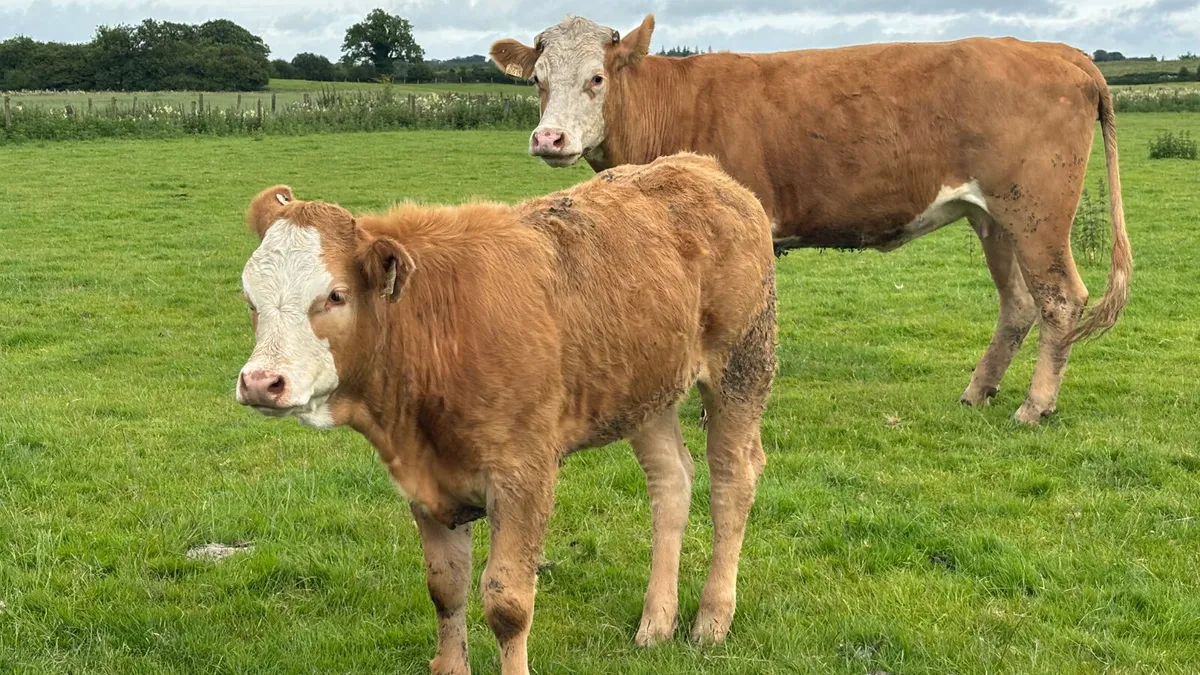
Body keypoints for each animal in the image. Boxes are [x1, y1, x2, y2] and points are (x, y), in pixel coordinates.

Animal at [234, 152, 777, 675]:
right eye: (250, 298)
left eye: (336, 295)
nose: (261, 381)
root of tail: (698, 165)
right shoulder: (428, 482)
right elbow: (445, 588)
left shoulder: (524, 475)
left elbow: (507, 603)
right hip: (646, 391)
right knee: (671, 480)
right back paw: (656, 621)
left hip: (742, 365)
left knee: (733, 480)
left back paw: (711, 619)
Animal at [490, 14, 1133, 425]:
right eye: (538, 80)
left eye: (596, 77)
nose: (549, 138)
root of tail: (1057, 51)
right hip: (995, 218)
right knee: (1019, 303)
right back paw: (980, 391)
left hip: (1036, 212)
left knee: (1060, 301)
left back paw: (1035, 405)